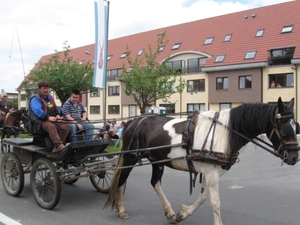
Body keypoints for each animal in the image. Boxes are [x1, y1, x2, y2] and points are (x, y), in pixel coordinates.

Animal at [104, 98, 298, 225]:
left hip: (157, 160)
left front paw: (183, 213)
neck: (224, 132)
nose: (295, 157)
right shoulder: (212, 174)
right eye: (283, 128)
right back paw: (121, 210)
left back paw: (170, 212)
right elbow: (215, 203)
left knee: (155, 183)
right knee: (121, 180)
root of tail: (134, 121)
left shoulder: (208, 172)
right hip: (130, 157)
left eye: (296, 126)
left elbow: (204, 197)